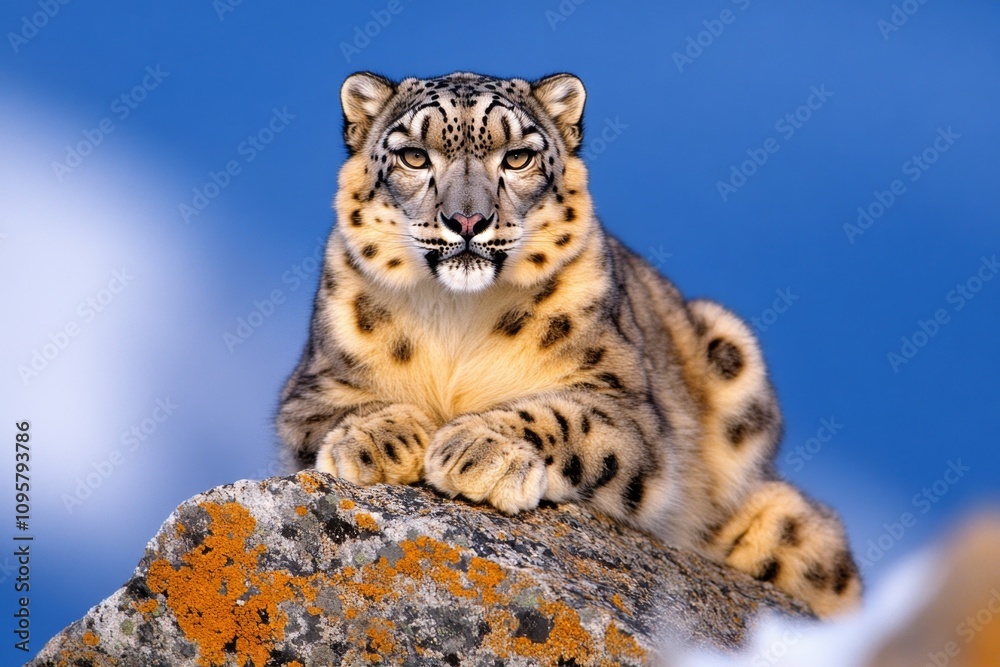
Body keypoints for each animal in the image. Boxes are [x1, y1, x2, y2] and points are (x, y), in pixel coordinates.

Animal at [276, 70, 861, 618]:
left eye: (517, 158)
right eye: (415, 156)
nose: (468, 220)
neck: (457, 319)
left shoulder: (623, 403)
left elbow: (567, 417)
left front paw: (479, 450)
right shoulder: (314, 383)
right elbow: (339, 410)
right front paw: (373, 441)